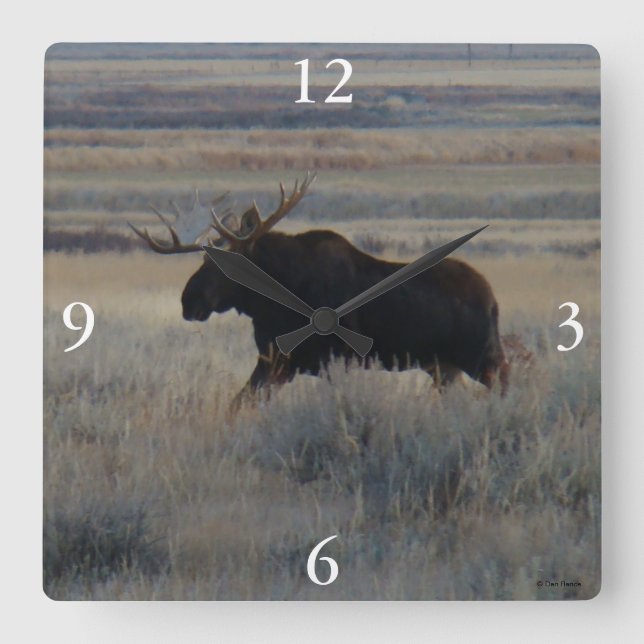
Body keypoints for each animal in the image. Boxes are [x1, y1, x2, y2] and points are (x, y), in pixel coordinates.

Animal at [130, 173, 509, 407]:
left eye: (225, 265)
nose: (189, 301)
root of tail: (493, 300)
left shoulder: (335, 361)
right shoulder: (276, 363)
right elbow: (238, 405)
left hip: (482, 356)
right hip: (444, 367)